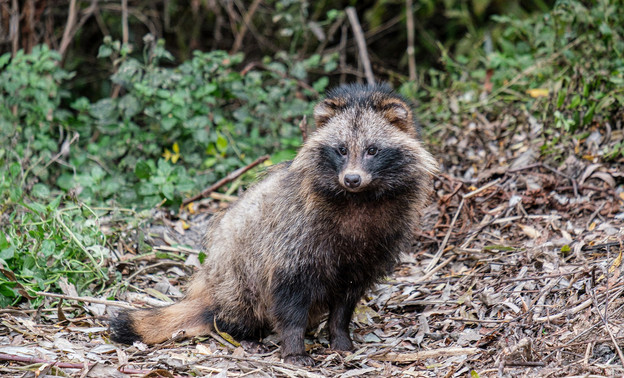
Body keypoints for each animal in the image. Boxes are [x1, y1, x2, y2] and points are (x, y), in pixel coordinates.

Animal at [109, 82, 436, 364]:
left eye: (372, 150)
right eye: (341, 149)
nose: (352, 178)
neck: (359, 199)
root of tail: (208, 293)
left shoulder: (372, 247)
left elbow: (346, 301)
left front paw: (340, 337)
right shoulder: (292, 241)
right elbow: (289, 300)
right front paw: (294, 347)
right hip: (235, 276)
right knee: (239, 305)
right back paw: (240, 331)